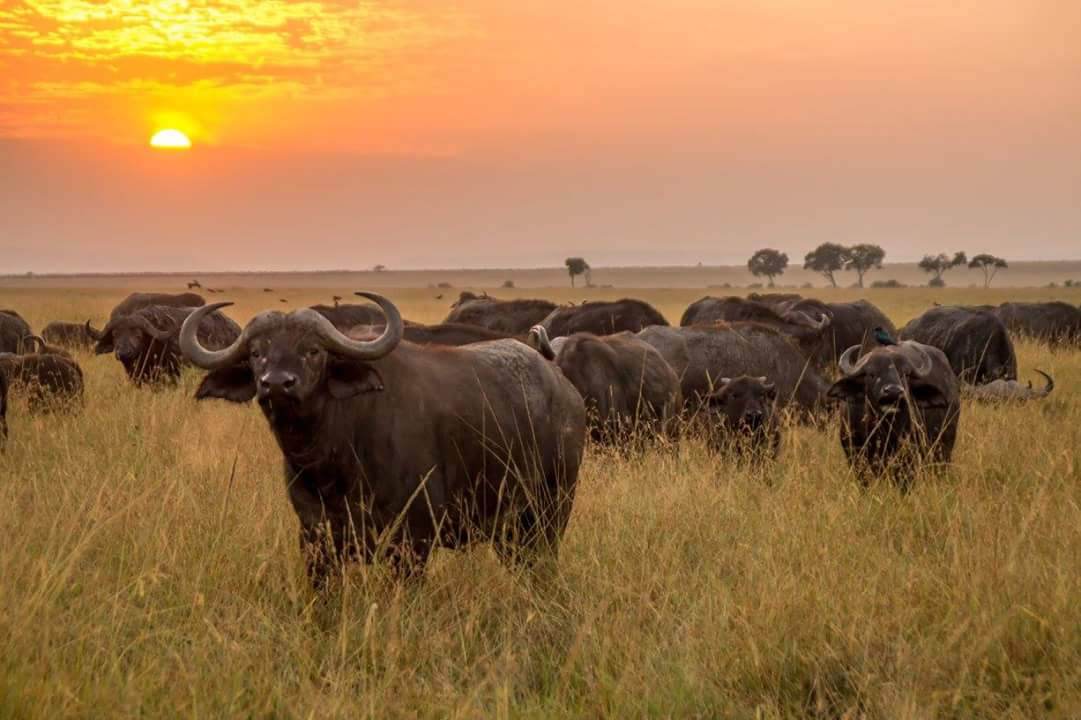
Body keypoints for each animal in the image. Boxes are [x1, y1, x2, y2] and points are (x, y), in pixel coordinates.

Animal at [181, 289, 588, 579]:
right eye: (255, 353)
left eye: (313, 351)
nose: (277, 384)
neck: (332, 460)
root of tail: (562, 385)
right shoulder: (315, 538)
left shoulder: (412, 539)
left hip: (551, 512)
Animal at [825, 341, 964, 488]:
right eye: (871, 374)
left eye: (905, 374)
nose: (893, 391)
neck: (883, 433)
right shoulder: (855, 458)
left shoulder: (907, 461)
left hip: (943, 449)